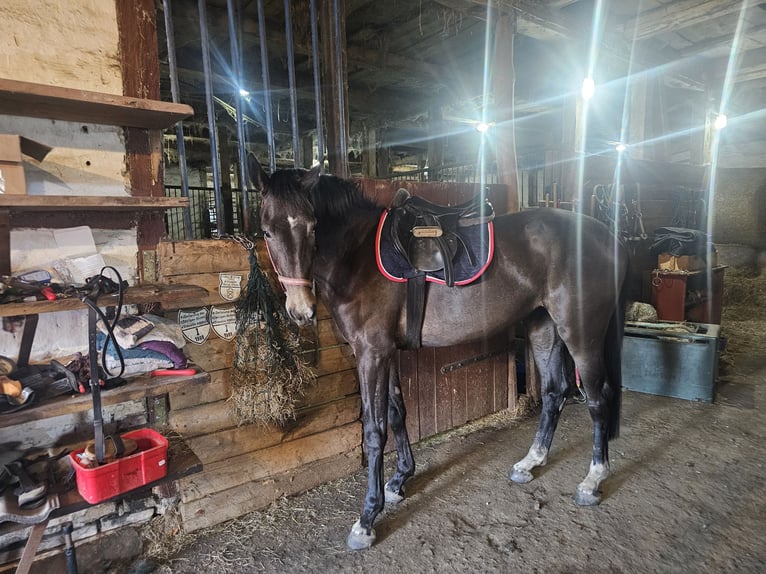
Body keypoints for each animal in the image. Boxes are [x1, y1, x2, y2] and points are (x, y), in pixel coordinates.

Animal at [248, 156, 629, 550]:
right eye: (267, 231)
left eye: (311, 227)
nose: (301, 311)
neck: (358, 258)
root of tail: (608, 237)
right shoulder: (387, 352)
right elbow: (397, 413)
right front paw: (400, 480)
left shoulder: (371, 353)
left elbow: (374, 430)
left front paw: (367, 518)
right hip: (543, 326)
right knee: (555, 392)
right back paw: (530, 463)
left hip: (580, 333)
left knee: (597, 398)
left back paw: (592, 481)